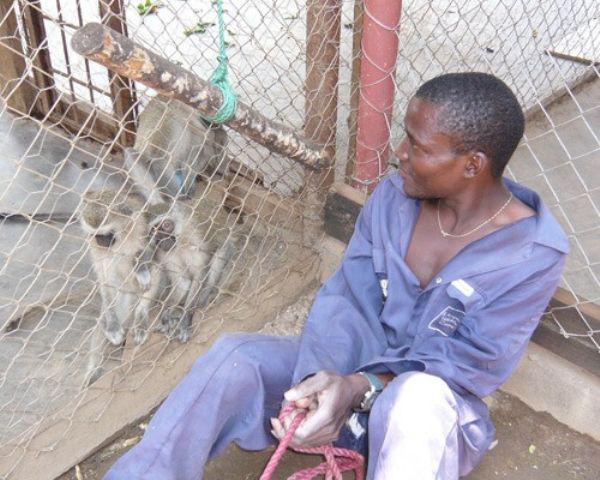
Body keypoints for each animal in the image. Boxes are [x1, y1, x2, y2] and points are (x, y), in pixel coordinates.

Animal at [147, 199, 241, 342]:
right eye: (154, 231)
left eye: (166, 225)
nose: (163, 239)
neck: (180, 242)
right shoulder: (164, 253)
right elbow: (183, 282)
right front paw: (168, 313)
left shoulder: (196, 239)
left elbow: (199, 276)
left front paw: (186, 319)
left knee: (218, 255)